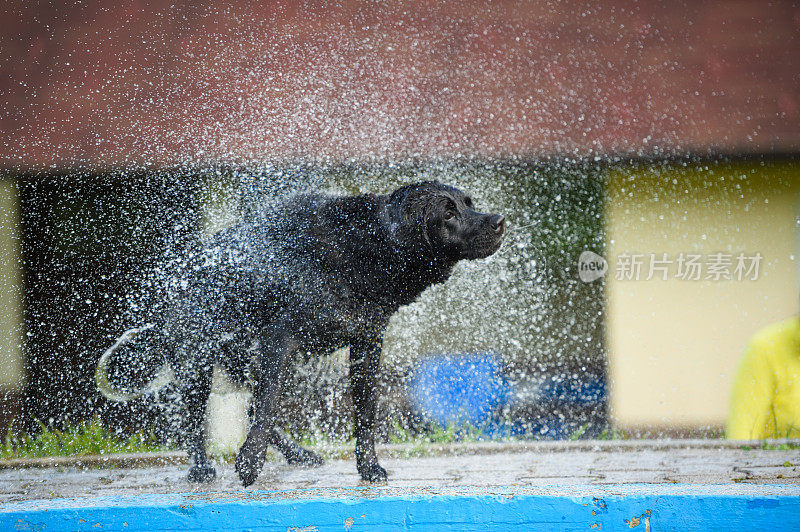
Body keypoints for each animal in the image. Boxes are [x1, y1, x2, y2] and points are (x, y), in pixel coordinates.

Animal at [97, 182, 504, 486]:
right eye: (448, 213)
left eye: (469, 203)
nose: (499, 220)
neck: (362, 248)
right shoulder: (280, 338)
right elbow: (268, 407)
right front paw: (249, 464)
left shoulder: (367, 343)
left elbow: (364, 412)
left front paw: (368, 467)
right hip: (201, 356)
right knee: (197, 419)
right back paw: (200, 468)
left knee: (251, 404)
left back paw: (297, 453)